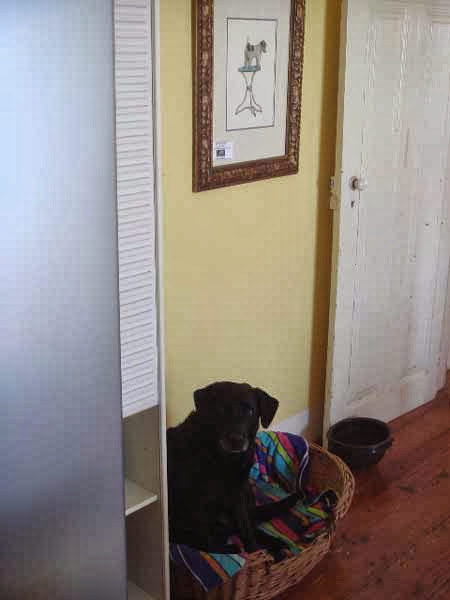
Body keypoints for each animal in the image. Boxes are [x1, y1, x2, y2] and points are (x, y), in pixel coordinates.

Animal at [167, 382, 299, 558]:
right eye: (220, 410)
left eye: (249, 411)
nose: (236, 440)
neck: (224, 460)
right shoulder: (196, 501)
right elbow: (206, 542)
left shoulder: (238, 494)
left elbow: (246, 529)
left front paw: (254, 551)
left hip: (247, 491)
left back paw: (276, 544)